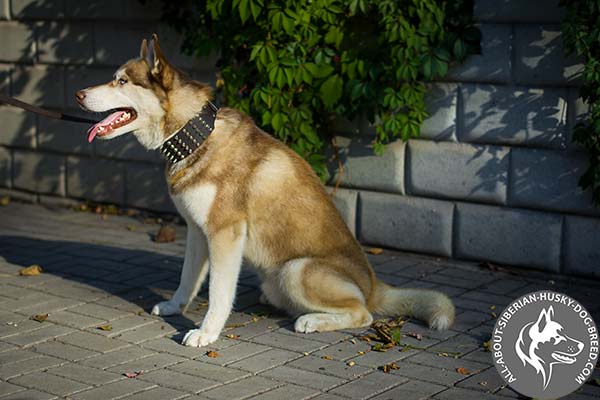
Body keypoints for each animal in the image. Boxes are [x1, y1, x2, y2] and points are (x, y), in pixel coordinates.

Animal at [76, 34, 454, 346]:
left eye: (121, 81)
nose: (79, 94)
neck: (195, 136)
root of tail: (375, 286)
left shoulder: (225, 235)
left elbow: (219, 292)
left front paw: (207, 333)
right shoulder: (197, 231)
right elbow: (189, 279)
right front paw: (174, 305)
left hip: (296, 270)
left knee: (363, 314)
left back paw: (312, 321)